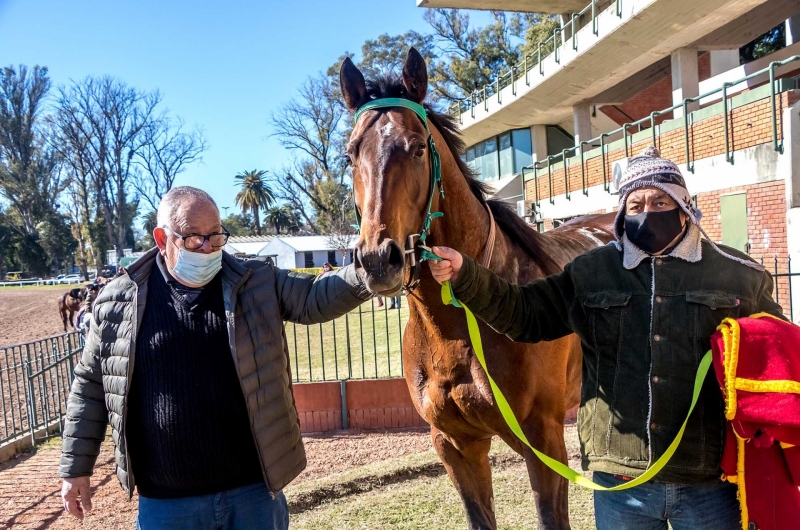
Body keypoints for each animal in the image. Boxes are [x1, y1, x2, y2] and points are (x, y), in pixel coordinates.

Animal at [340, 47, 616, 524]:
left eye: (417, 148)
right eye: (351, 154)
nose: (377, 259)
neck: (459, 328)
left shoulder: (544, 442)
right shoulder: (455, 445)